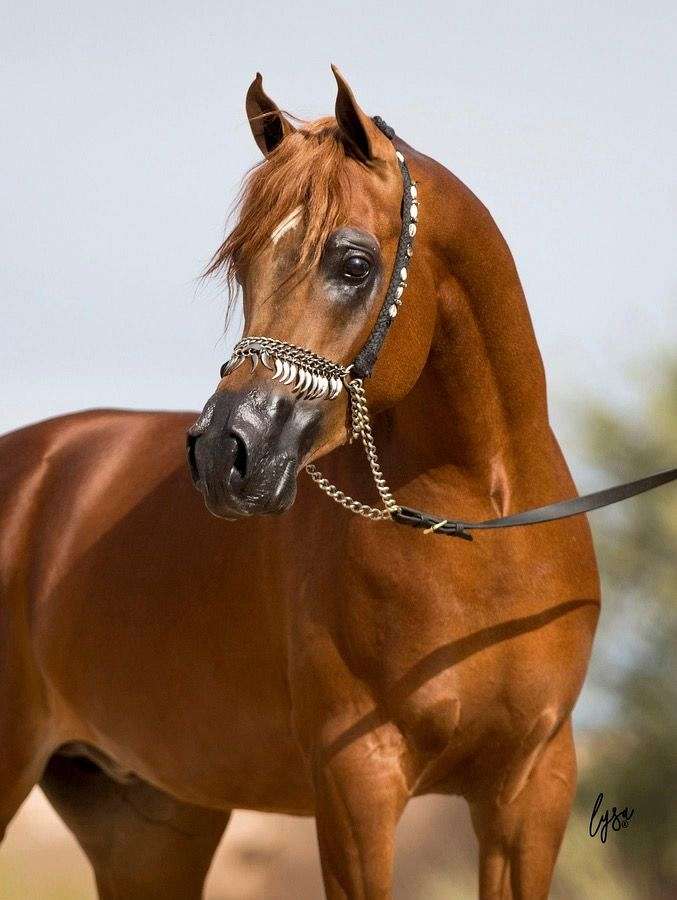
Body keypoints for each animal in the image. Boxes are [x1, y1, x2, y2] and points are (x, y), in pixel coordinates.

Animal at [0, 67, 600, 899]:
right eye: (242, 266)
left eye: (351, 264)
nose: (225, 453)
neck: (482, 539)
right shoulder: (355, 781)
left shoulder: (531, 785)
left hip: (147, 821)